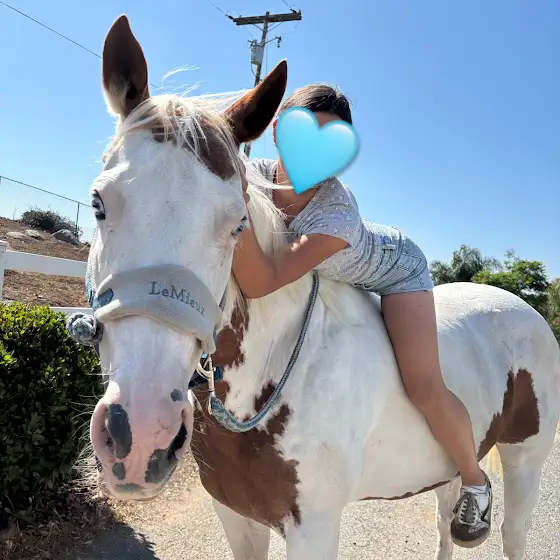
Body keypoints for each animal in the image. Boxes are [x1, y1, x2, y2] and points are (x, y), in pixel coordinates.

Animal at [83, 15, 560, 560]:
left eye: (237, 225)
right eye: (98, 203)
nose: (141, 434)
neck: (275, 373)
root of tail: (524, 309)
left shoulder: (315, 527)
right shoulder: (234, 514)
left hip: (525, 463)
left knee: (512, 532)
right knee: (444, 521)